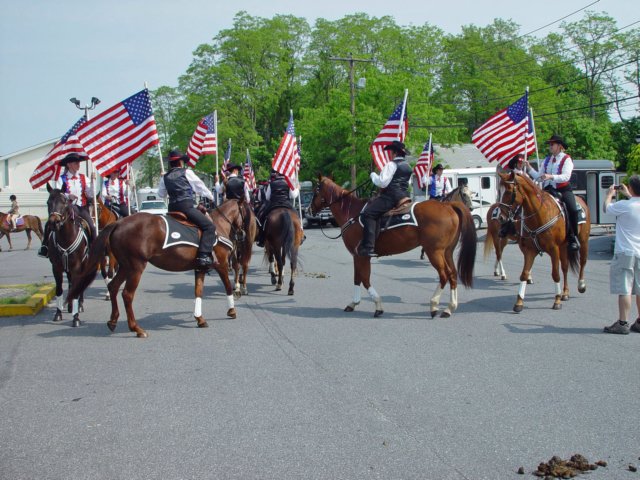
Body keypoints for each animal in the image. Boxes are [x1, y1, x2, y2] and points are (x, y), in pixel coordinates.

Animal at [44, 186, 90, 328]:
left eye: (64, 202)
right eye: (48, 202)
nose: (54, 222)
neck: (66, 238)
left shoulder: (76, 267)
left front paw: (76, 318)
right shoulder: (57, 268)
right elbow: (59, 290)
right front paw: (58, 313)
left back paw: (79, 306)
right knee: (70, 285)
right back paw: (70, 307)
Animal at [66, 201, 244, 340]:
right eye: (245, 212)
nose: (242, 234)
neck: (217, 225)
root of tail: (118, 223)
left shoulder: (199, 267)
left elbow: (198, 291)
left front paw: (199, 319)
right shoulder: (221, 264)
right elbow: (227, 287)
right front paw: (232, 310)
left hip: (125, 266)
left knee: (113, 287)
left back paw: (113, 321)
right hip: (136, 267)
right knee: (127, 294)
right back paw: (136, 329)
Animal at [310, 176, 476, 318]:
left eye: (316, 191)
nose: (309, 210)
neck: (352, 213)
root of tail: (448, 206)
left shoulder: (360, 255)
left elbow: (364, 279)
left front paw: (377, 306)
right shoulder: (358, 256)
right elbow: (357, 278)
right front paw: (353, 304)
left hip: (434, 252)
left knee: (444, 275)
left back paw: (434, 305)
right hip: (447, 252)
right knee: (453, 274)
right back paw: (449, 308)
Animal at [498, 172, 592, 312]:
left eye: (510, 192)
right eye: (499, 191)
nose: (501, 218)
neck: (539, 215)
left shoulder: (553, 249)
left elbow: (555, 274)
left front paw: (557, 301)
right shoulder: (530, 251)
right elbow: (524, 274)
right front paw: (519, 302)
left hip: (583, 241)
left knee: (583, 262)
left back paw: (581, 285)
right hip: (563, 246)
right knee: (565, 267)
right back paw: (565, 293)